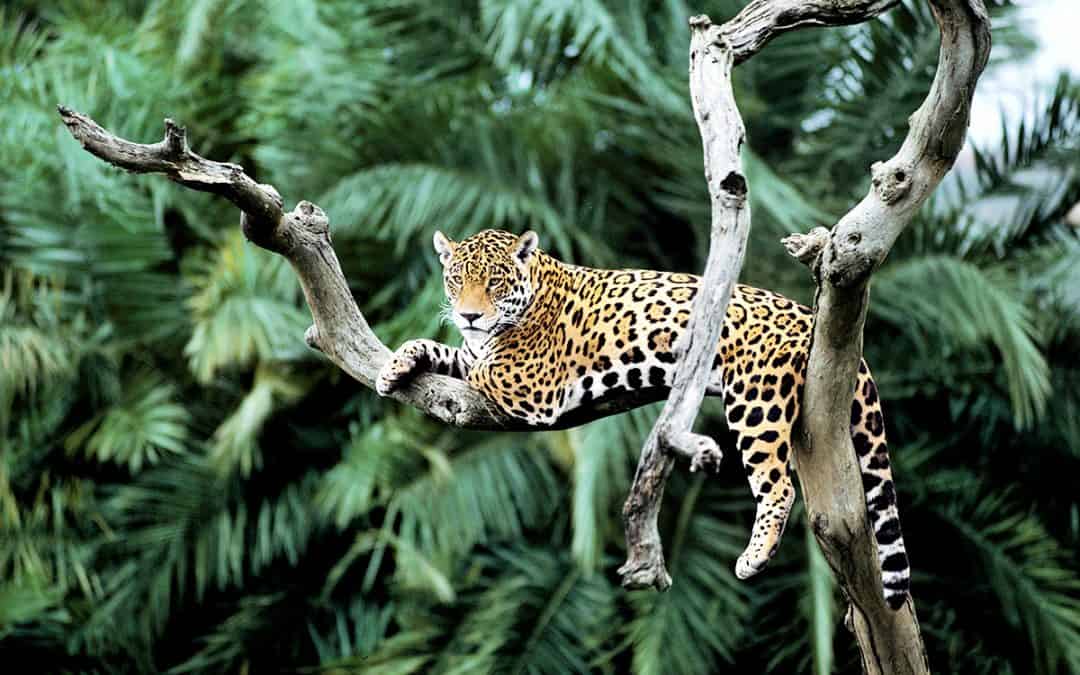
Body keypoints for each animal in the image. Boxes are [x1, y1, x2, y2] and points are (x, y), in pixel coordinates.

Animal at [376, 228, 910, 609]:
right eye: (455, 281)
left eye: (495, 282)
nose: (469, 315)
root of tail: (807, 315)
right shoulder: (478, 353)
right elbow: (446, 351)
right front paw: (396, 365)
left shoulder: (529, 383)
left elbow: (480, 365)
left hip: (755, 400)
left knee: (777, 485)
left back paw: (753, 557)